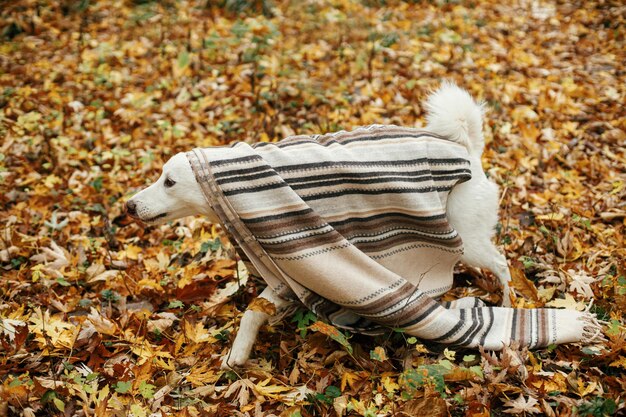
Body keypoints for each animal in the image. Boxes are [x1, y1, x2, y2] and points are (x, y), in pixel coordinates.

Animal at [124, 83, 510, 368]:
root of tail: (468, 151)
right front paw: (243, 350)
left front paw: (237, 354)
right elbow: (255, 312)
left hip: (469, 241)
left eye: (169, 182)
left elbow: (252, 312)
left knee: (502, 264)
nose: (129, 206)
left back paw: (508, 301)